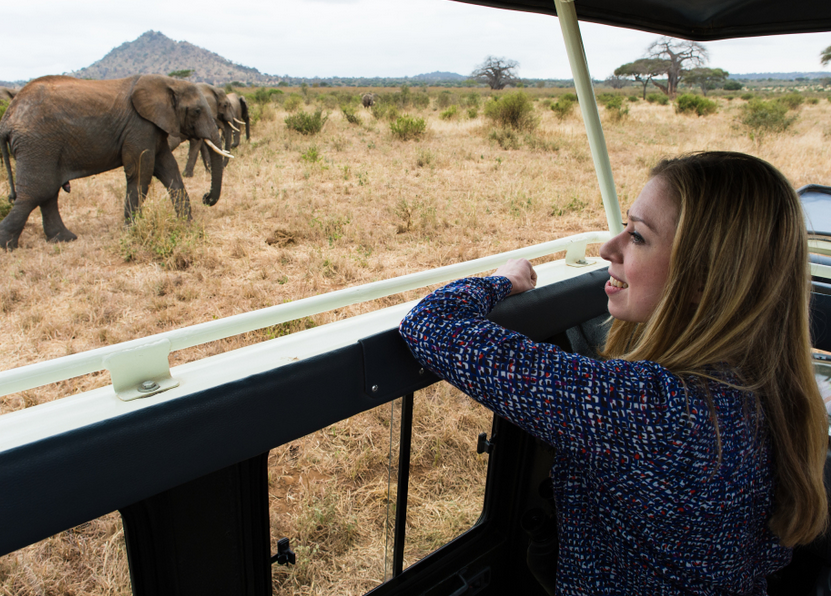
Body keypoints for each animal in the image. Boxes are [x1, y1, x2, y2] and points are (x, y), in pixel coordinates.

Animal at [0, 74, 232, 250]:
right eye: (196, 111)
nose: (206, 197)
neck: (169, 82)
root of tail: (8, 117)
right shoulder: (139, 126)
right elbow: (141, 173)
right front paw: (132, 230)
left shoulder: (154, 127)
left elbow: (168, 169)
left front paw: (187, 224)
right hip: (38, 144)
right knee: (37, 192)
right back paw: (8, 246)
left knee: (47, 193)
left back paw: (65, 239)